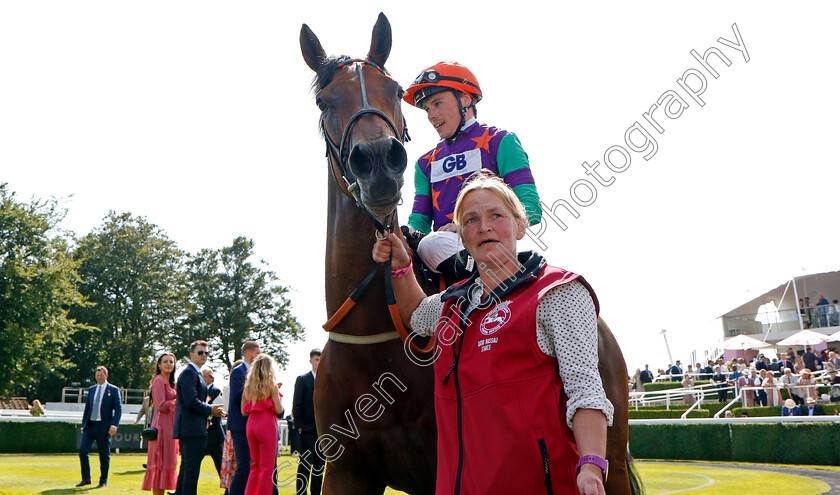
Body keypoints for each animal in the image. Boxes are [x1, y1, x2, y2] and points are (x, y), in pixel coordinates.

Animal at [298, 11, 640, 495]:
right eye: (323, 102)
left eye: (392, 90)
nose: (378, 160)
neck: (374, 340)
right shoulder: (346, 471)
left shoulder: (445, 467)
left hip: (611, 454)